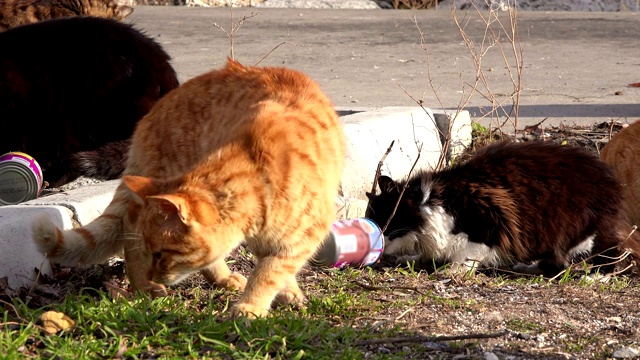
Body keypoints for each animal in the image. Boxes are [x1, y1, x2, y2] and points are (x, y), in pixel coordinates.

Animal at [33, 59, 344, 318]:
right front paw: (252, 307)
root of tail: (154, 111)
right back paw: (145, 289)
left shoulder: (294, 237)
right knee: (129, 234)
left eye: (162, 254)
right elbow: (269, 273)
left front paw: (280, 295)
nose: (154, 274)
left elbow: (272, 270)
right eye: (153, 252)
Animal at [364, 140, 640, 276]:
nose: (374, 238)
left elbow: (470, 252)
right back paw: (528, 268)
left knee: (609, 252)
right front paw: (417, 259)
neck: (431, 201)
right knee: (556, 263)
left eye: (383, 219)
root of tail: (611, 179)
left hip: (582, 230)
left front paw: (453, 270)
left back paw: (597, 276)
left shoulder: (490, 214)